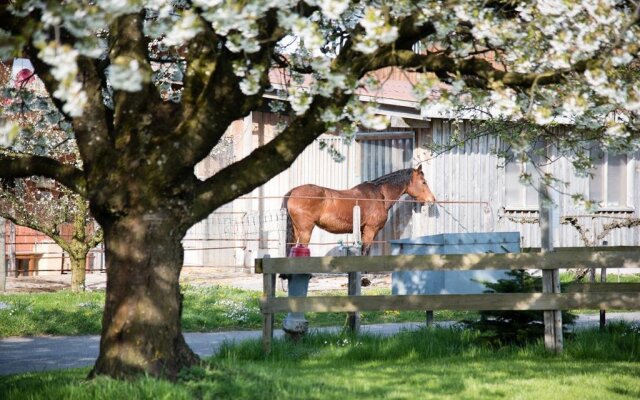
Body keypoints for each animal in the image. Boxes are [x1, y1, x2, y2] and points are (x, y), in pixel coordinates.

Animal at [282, 166, 436, 256]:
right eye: (424, 182)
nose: (432, 200)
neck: (379, 195)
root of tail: (293, 192)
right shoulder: (370, 230)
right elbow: (365, 252)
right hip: (305, 231)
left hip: (297, 231)